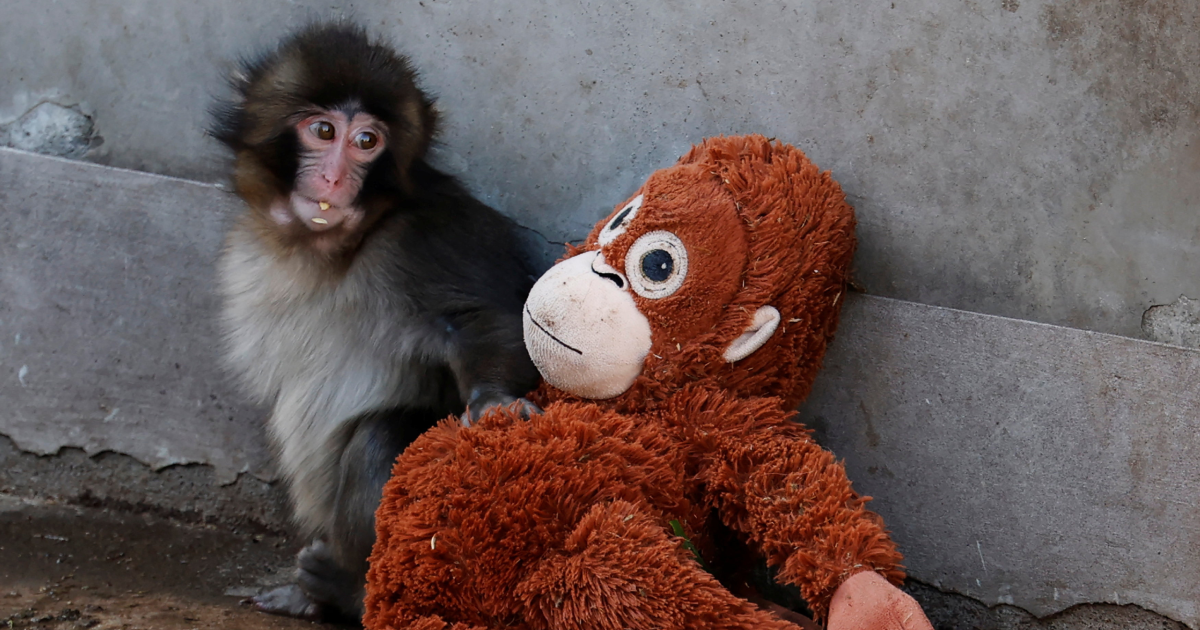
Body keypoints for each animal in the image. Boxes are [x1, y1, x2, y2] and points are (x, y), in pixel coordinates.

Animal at [208, 23, 541, 623]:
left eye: (368, 142)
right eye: (323, 131)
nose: (335, 176)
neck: (332, 249)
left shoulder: (427, 236)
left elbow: (482, 319)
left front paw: (495, 401)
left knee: (379, 439)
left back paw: (349, 591)